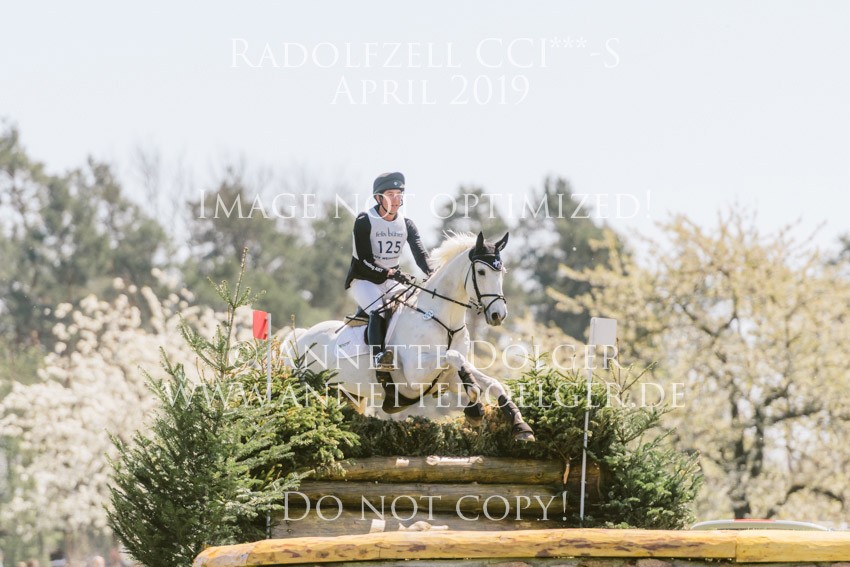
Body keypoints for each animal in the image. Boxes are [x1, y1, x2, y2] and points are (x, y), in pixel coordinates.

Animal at [281, 231, 535, 442]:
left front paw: (520, 426)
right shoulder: (415, 377)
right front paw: (475, 408)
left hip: (348, 394)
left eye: (501, 272)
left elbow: (491, 382)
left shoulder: (447, 379)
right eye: (481, 272)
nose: (498, 315)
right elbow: (455, 358)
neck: (444, 320)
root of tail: (299, 337)